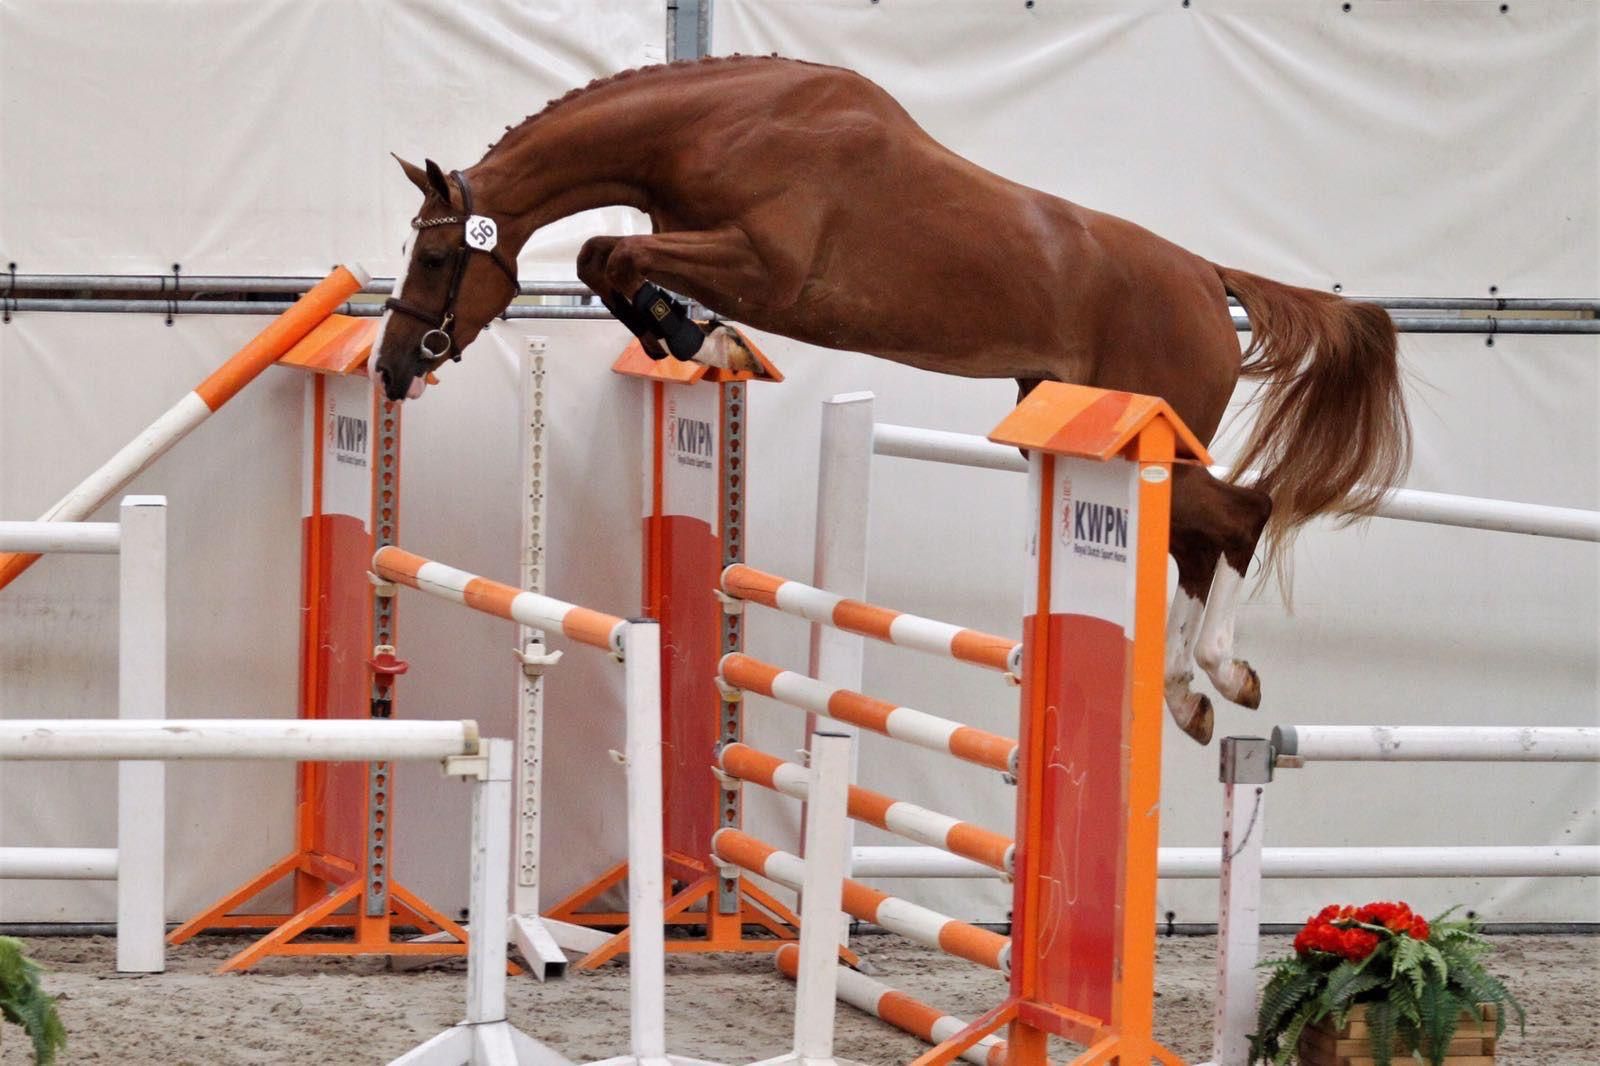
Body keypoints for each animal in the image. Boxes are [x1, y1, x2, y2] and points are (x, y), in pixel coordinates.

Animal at [370, 54, 1410, 745]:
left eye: (435, 253)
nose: (392, 365)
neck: (718, 122)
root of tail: (1206, 276)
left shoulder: (765, 266)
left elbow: (610, 252)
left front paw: (700, 336)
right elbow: (603, 256)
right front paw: (687, 336)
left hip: (1149, 425)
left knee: (1243, 513)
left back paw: (1220, 674)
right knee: (1200, 537)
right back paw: (1186, 687)